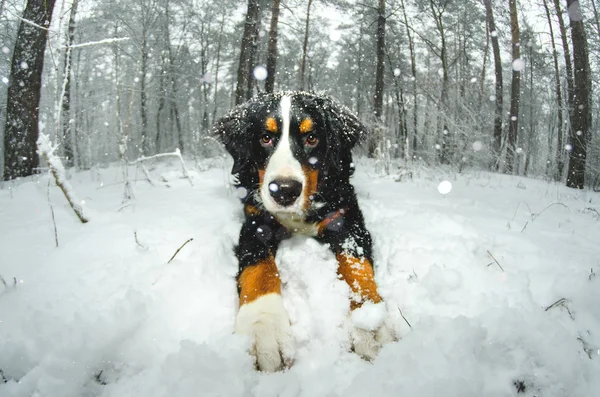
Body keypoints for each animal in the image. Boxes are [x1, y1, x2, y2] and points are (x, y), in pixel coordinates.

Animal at [213, 90, 396, 372]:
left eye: (311, 138)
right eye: (265, 138)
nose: (284, 190)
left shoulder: (346, 219)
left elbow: (357, 266)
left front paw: (370, 322)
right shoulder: (256, 224)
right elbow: (258, 269)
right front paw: (263, 325)